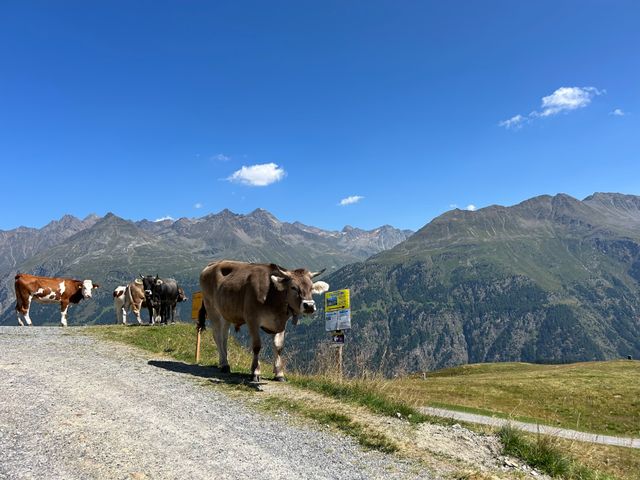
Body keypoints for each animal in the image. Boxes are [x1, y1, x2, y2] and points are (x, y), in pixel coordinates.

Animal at [198, 261, 329, 382]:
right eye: (293, 287)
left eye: (311, 288)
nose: (309, 306)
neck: (272, 295)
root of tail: (213, 264)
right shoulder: (252, 319)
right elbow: (257, 346)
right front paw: (255, 372)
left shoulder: (281, 323)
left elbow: (278, 346)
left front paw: (279, 373)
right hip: (212, 309)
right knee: (217, 336)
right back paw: (225, 364)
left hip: (226, 313)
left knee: (224, 337)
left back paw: (223, 362)